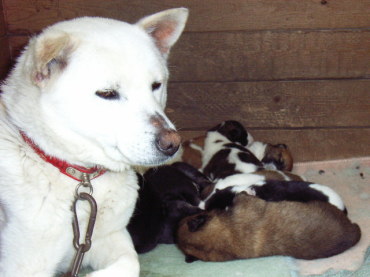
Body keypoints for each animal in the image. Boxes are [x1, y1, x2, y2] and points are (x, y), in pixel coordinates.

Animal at [0, 7, 189, 274]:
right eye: (107, 93)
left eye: (155, 85)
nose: (172, 143)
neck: (78, 173)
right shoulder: (24, 266)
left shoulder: (109, 238)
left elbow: (130, 263)